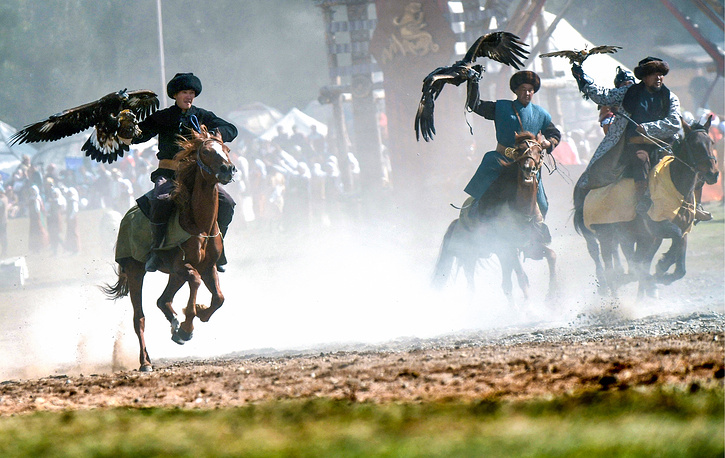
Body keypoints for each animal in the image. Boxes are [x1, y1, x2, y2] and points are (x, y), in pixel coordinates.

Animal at [102, 126, 236, 372]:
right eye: (205, 152)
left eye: (226, 149)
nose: (227, 169)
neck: (198, 223)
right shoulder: (181, 265)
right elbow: (195, 282)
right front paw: (187, 327)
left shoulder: (208, 266)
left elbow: (219, 298)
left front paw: (199, 313)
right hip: (135, 271)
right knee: (139, 317)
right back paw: (145, 361)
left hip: (172, 275)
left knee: (162, 300)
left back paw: (174, 322)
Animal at [432, 131, 556, 304]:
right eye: (519, 150)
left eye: (539, 151)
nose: (528, 169)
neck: (521, 209)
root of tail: (458, 224)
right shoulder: (510, 248)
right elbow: (522, 279)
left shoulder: (529, 246)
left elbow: (551, 256)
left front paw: (552, 299)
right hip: (470, 257)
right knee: (474, 285)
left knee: (505, 284)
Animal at [576, 115, 720, 296]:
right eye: (694, 144)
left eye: (711, 143)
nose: (713, 174)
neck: (676, 189)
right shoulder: (658, 226)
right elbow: (674, 237)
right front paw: (661, 266)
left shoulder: (678, 230)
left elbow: (680, 267)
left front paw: (661, 270)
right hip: (606, 236)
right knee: (609, 267)